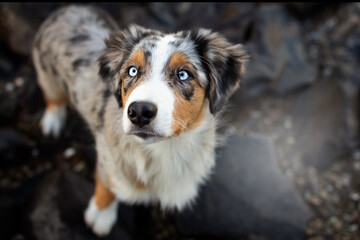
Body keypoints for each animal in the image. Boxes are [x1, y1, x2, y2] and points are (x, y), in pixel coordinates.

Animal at [33, 4, 248, 237]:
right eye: (132, 70)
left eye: (183, 74)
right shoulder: (109, 158)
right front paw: (100, 216)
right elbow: (107, 184)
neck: (168, 148)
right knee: (53, 96)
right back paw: (53, 121)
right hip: (46, 72)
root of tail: (68, 9)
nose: (139, 111)